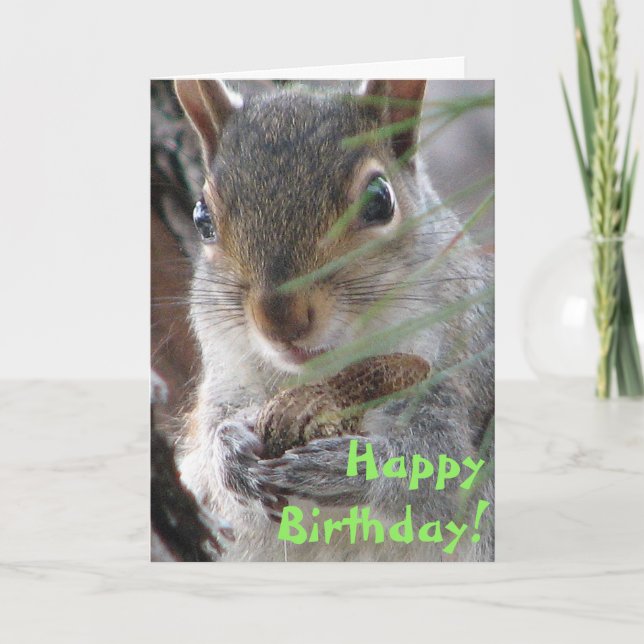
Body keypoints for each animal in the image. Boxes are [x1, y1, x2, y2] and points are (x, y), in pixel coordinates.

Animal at [172, 79, 494, 561]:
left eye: (380, 199)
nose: (280, 321)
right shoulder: (226, 380)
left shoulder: (458, 380)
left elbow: (440, 468)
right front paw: (230, 450)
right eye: (201, 218)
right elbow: (211, 442)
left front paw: (346, 468)